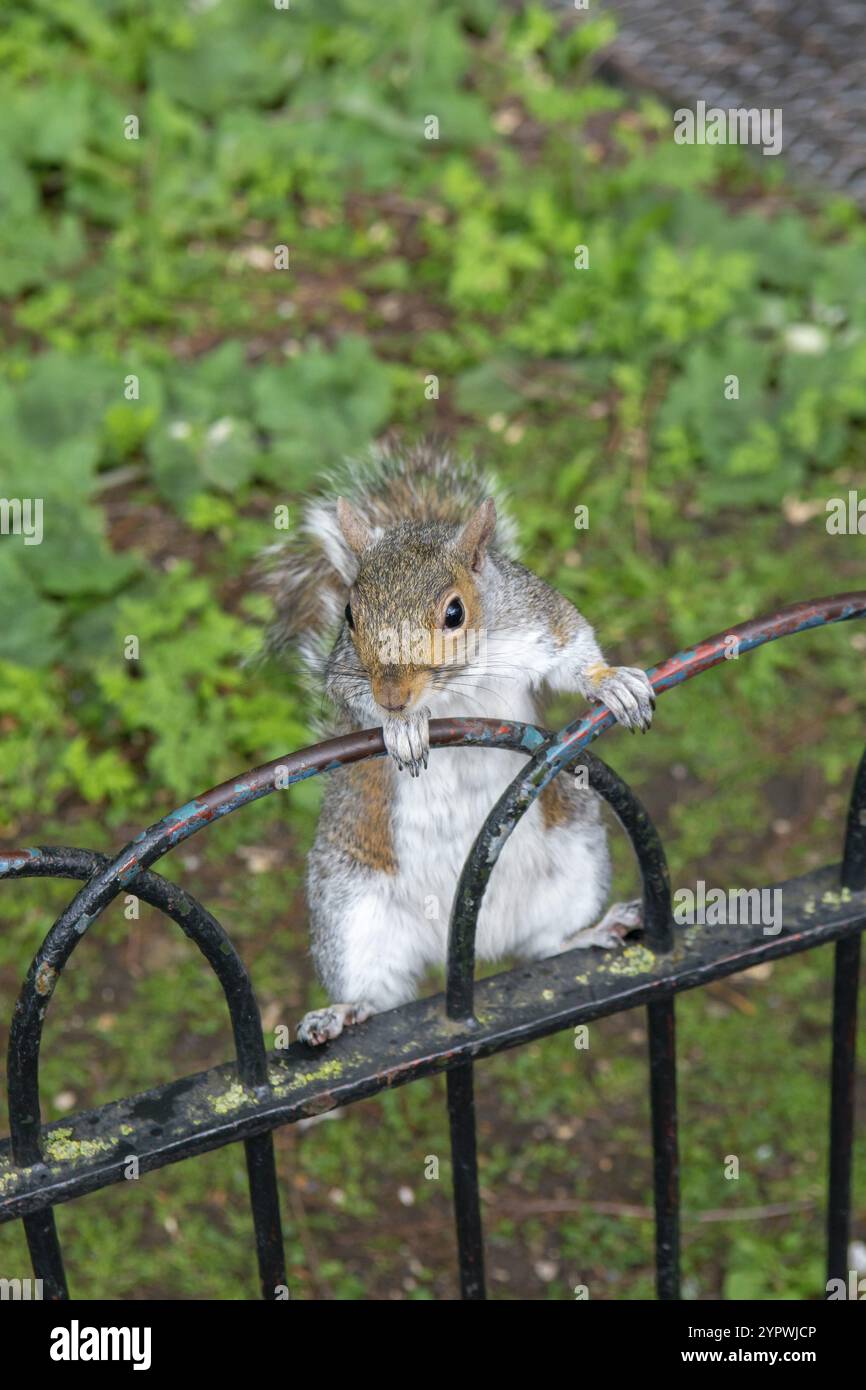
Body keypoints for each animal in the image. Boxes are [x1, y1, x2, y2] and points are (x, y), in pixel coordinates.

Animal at [268, 442, 653, 1045]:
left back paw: (591, 931)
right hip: (351, 909)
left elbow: (575, 650)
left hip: (576, 858)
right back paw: (341, 1012)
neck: (457, 684)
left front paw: (611, 682)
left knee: (546, 945)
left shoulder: (538, 618)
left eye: (455, 612)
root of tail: (477, 940)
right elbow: (349, 693)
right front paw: (403, 726)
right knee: (379, 992)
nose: (394, 696)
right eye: (350, 615)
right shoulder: (344, 672)